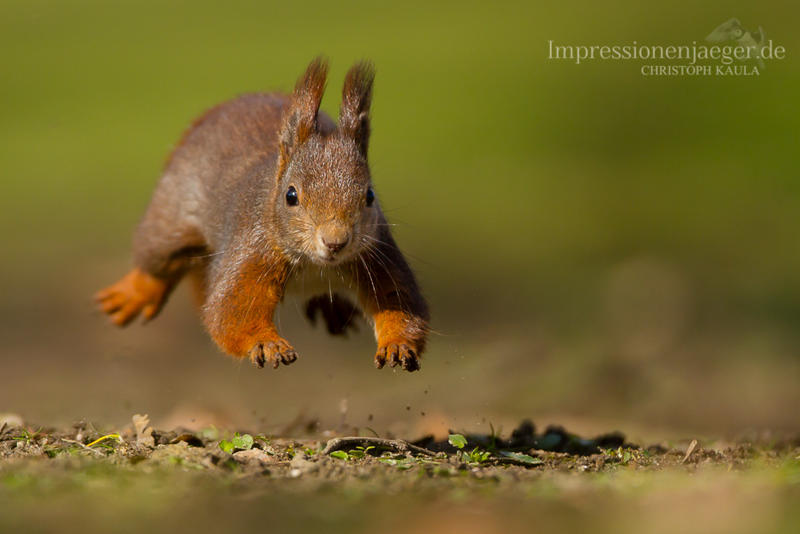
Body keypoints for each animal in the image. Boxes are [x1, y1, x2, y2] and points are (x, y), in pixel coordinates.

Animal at [97, 55, 428, 372]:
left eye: (370, 196)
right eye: (291, 196)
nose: (335, 242)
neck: (316, 266)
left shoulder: (377, 256)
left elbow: (400, 300)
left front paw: (398, 344)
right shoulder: (253, 250)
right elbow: (230, 311)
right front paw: (267, 344)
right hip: (170, 216)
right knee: (156, 260)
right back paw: (133, 294)